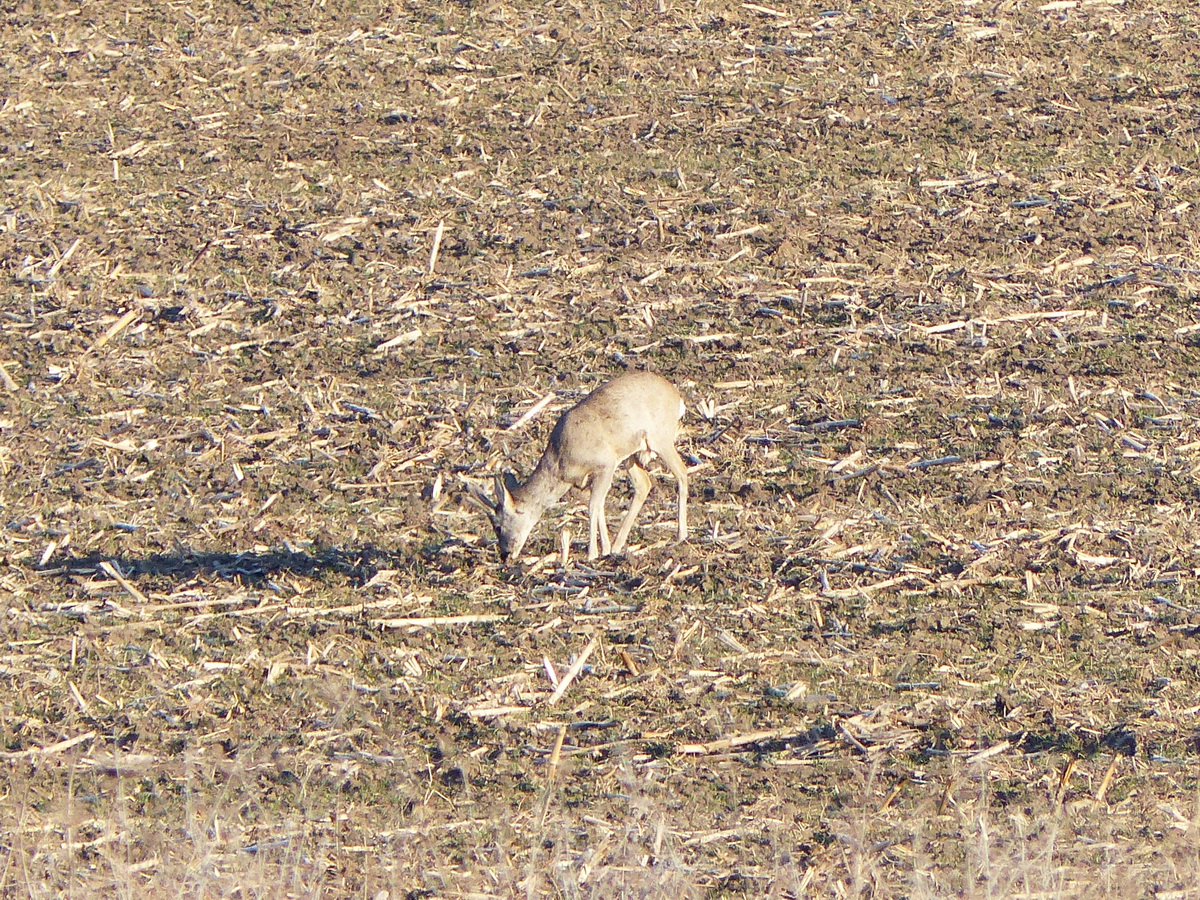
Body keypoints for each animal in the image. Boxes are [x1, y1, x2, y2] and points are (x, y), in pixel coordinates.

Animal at [472, 374, 691, 564]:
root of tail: (676, 396)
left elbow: (593, 506)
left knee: (681, 472)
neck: (561, 464)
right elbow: (599, 506)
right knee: (644, 484)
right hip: (630, 454)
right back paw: (618, 545)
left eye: (498, 526)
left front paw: (592, 554)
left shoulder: (605, 463)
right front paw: (605, 550)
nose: (505, 555)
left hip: (660, 438)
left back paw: (681, 536)